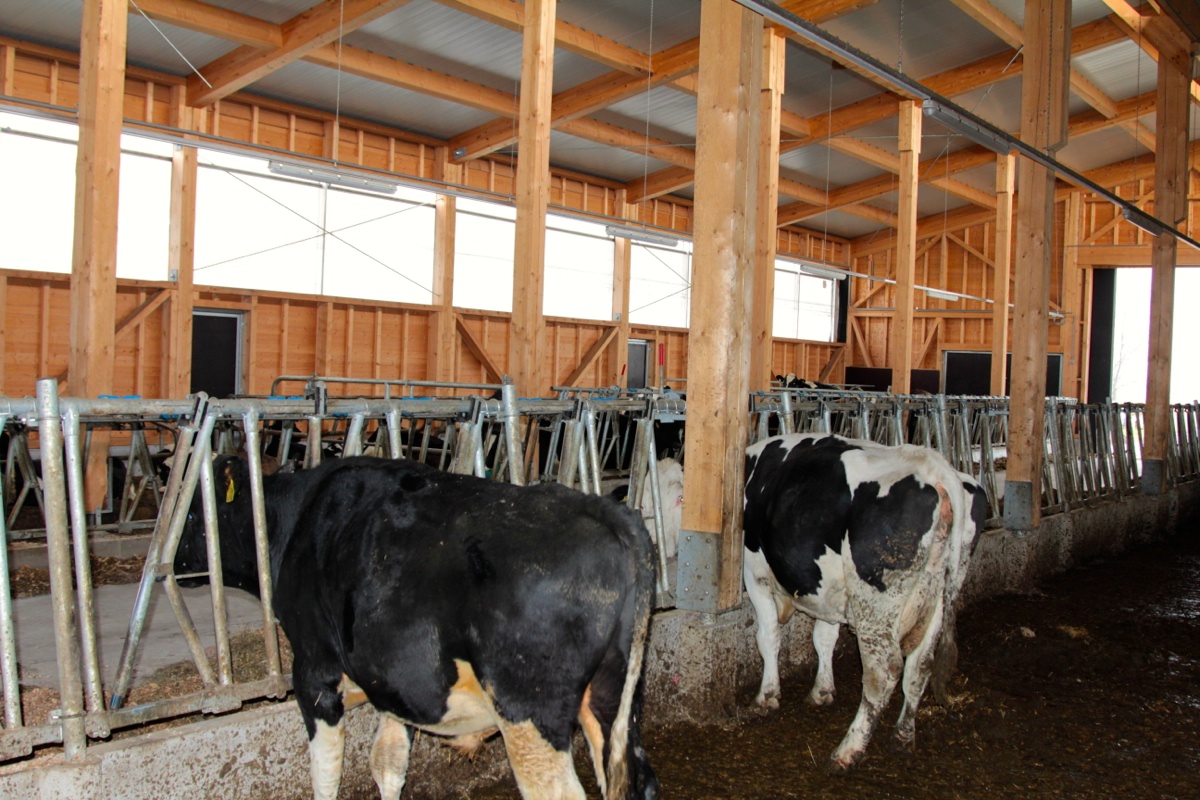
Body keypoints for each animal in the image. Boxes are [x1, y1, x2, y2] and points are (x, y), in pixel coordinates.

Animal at [174, 455, 659, 800]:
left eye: (195, 516)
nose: (174, 565)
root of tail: (608, 512)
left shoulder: (313, 670)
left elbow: (325, 773)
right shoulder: (395, 684)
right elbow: (387, 763)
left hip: (529, 707)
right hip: (614, 697)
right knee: (636, 779)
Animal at [742, 433, 988, 772]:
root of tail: (935, 467)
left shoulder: (755, 574)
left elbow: (768, 639)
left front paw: (766, 697)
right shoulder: (827, 590)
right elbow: (824, 638)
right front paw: (821, 691)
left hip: (877, 600)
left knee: (883, 672)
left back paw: (847, 751)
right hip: (937, 594)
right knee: (920, 666)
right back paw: (902, 736)